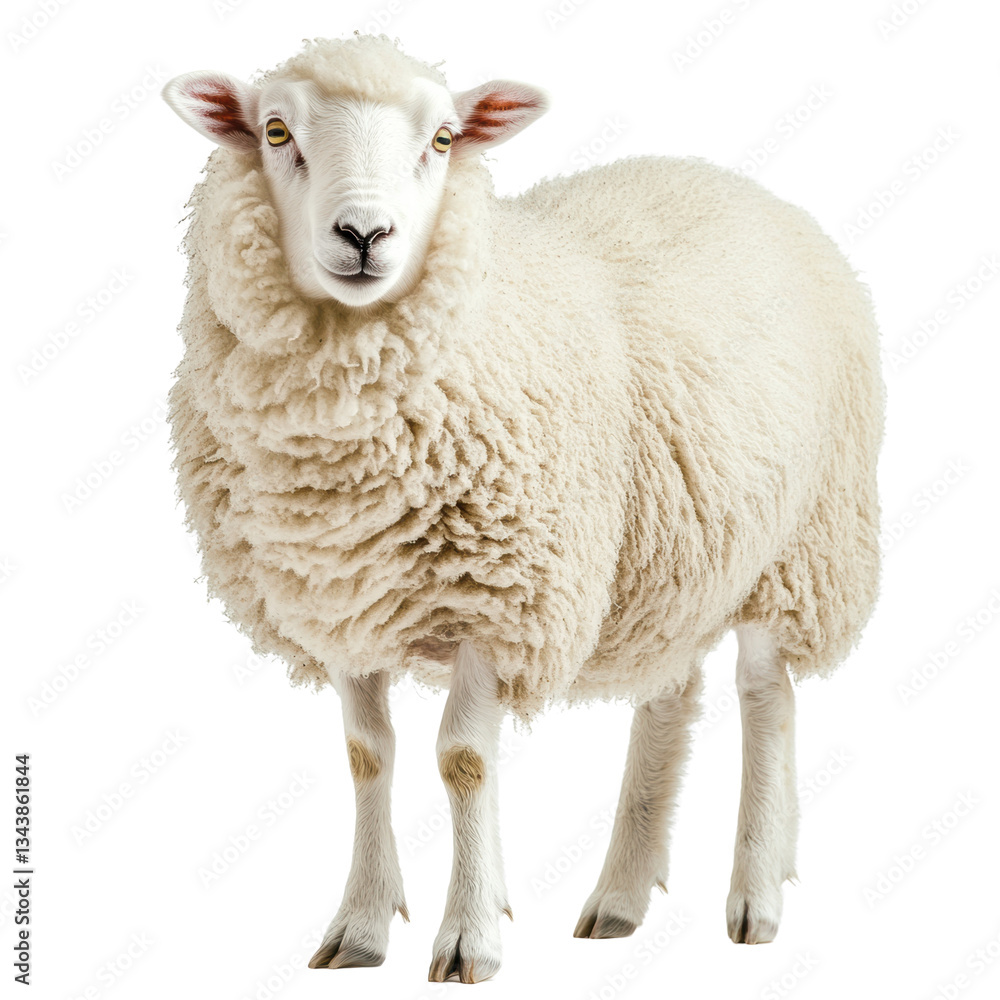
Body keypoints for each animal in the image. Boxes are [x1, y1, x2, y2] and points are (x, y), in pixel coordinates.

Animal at [162, 33, 883, 983]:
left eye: (442, 138)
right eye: (276, 130)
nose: (364, 235)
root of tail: (734, 182)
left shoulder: (501, 596)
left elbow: (463, 759)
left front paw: (470, 938)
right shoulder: (341, 598)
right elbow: (366, 757)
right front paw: (359, 928)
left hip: (800, 542)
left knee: (766, 695)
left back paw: (755, 896)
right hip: (672, 548)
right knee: (669, 695)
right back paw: (620, 896)